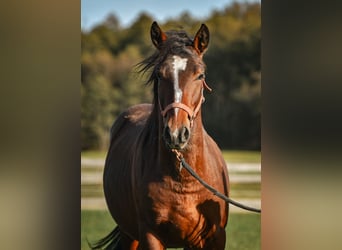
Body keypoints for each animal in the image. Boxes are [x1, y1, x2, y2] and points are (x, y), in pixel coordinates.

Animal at [92, 22, 228, 250]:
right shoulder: (150, 235)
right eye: (159, 75)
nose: (176, 133)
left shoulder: (213, 238)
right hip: (130, 234)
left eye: (200, 75)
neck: (183, 180)